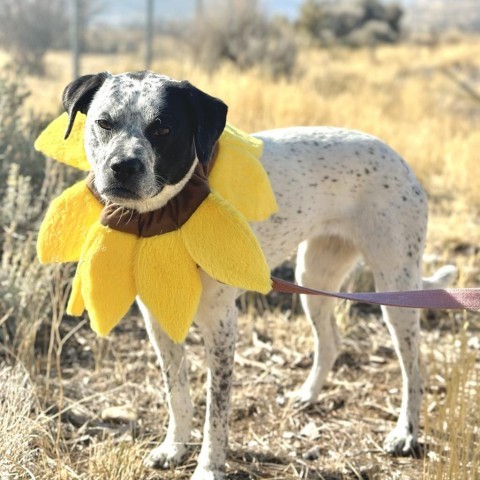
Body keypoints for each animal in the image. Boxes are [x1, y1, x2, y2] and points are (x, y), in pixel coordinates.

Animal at [62, 71, 456, 480]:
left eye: (163, 129)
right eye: (104, 123)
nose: (122, 167)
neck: (166, 216)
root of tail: (400, 159)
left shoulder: (222, 325)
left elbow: (216, 411)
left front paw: (208, 467)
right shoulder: (159, 322)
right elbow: (178, 395)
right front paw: (174, 447)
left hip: (395, 285)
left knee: (414, 366)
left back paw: (405, 433)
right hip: (314, 274)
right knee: (331, 341)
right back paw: (308, 395)